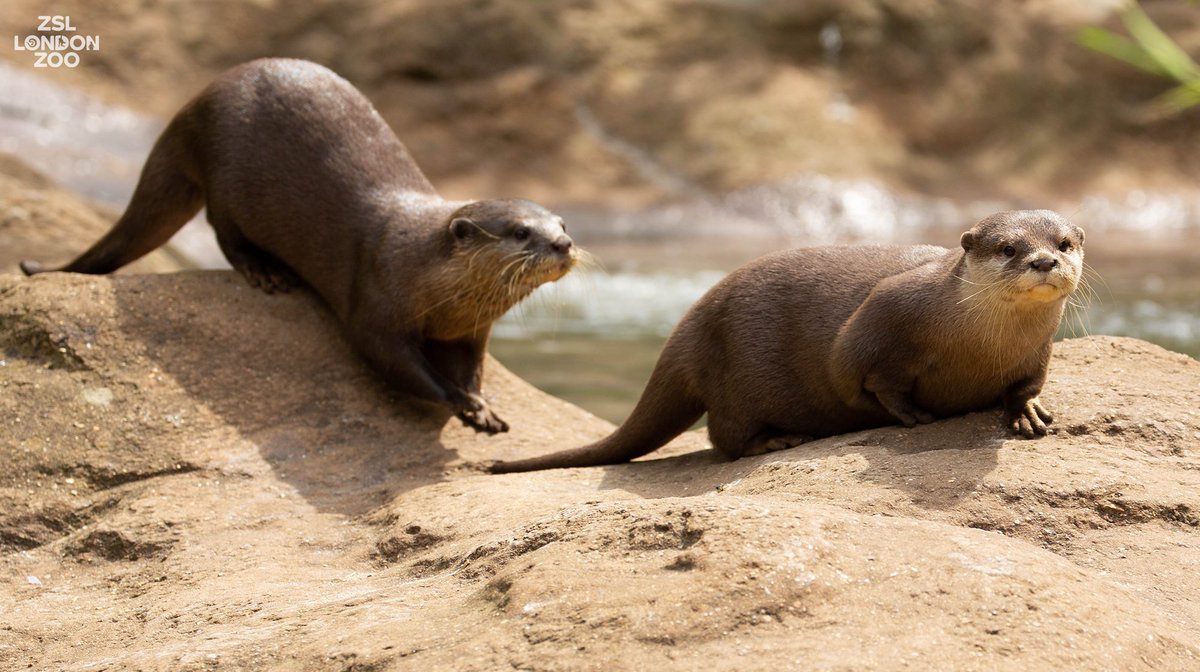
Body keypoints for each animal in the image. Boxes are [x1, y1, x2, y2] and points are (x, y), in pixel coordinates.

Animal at [18, 59, 576, 436]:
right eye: (520, 231)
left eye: (561, 220)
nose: (564, 242)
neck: (425, 274)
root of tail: (191, 109)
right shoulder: (375, 300)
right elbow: (392, 361)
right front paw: (460, 402)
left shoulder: (469, 332)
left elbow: (471, 368)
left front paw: (481, 404)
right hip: (227, 181)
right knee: (224, 232)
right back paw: (265, 272)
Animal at [489, 211, 1089, 472]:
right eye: (1008, 247)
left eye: (1063, 242)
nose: (1043, 260)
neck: (980, 344)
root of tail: (689, 325)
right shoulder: (887, 313)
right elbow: (863, 375)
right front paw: (911, 414)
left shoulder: (1038, 351)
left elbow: (1026, 385)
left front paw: (1027, 411)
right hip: (733, 376)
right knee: (722, 439)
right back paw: (773, 442)